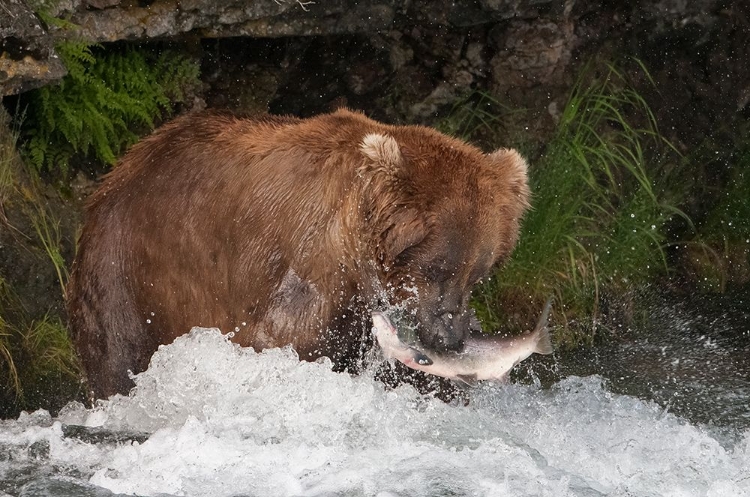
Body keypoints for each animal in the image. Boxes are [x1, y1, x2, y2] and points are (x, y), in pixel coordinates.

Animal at [67, 109, 532, 400]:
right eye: (435, 268)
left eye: (479, 273)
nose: (450, 338)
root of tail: (124, 163)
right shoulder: (310, 267)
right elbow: (278, 342)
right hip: (126, 265)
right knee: (116, 352)